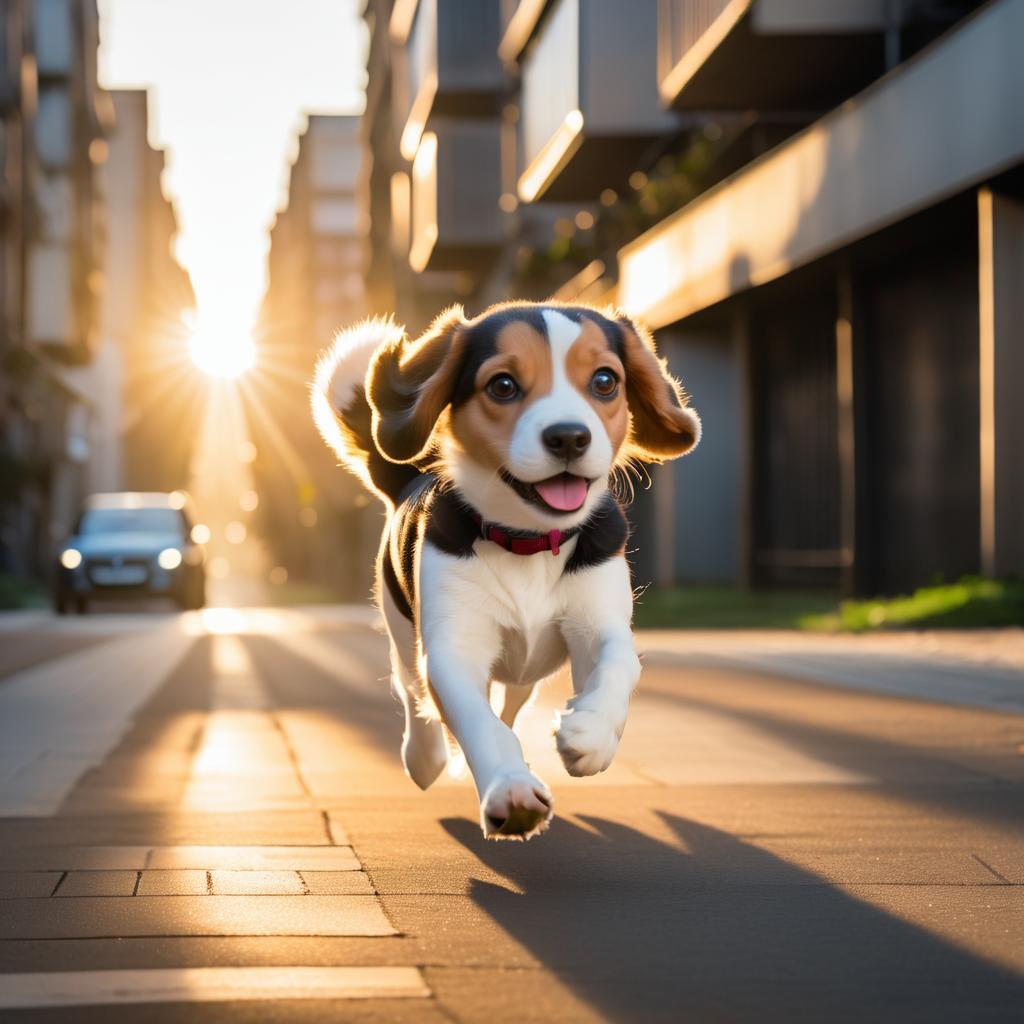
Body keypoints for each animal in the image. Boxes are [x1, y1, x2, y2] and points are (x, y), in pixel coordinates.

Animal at [309, 301, 696, 839]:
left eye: (604, 381)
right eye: (503, 386)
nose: (569, 437)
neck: (528, 541)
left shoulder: (598, 624)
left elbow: (620, 665)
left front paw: (590, 732)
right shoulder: (453, 649)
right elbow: (478, 722)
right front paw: (510, 791)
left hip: (524, 676)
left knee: (512, 705)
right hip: (401, 628)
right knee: (412, 691)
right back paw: (425, 757)